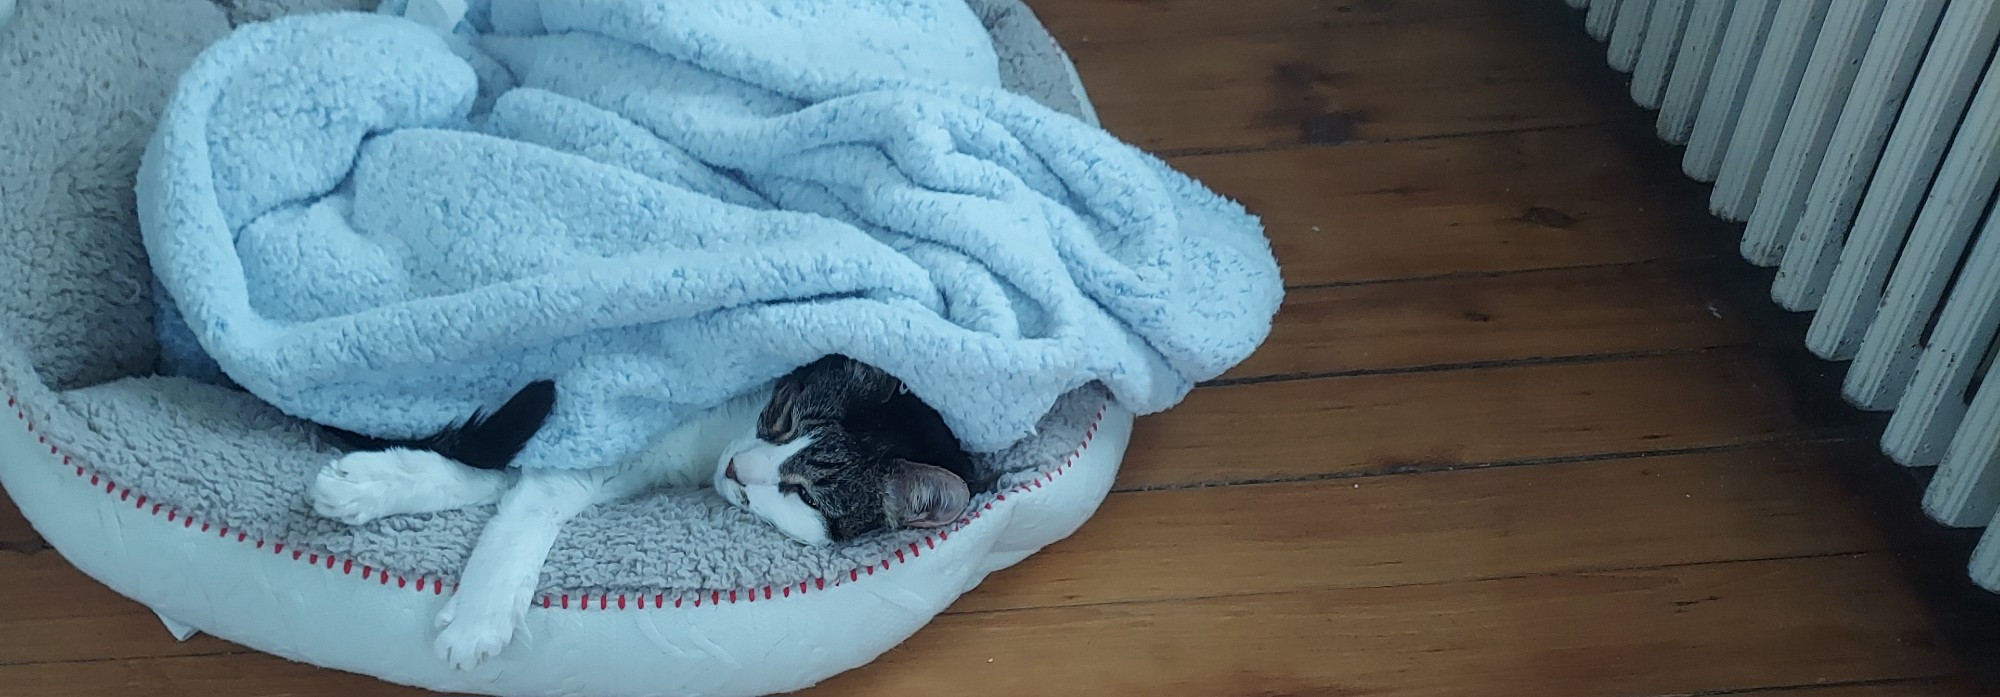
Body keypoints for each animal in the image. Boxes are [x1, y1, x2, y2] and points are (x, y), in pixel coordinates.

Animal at [300, 356, 980, 668]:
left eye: (805, 493)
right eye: (782, 415)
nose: (740, 471)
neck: (713, 446)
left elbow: (508, 485)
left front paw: (369, 485)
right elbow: (517, 495)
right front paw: (478, 619)